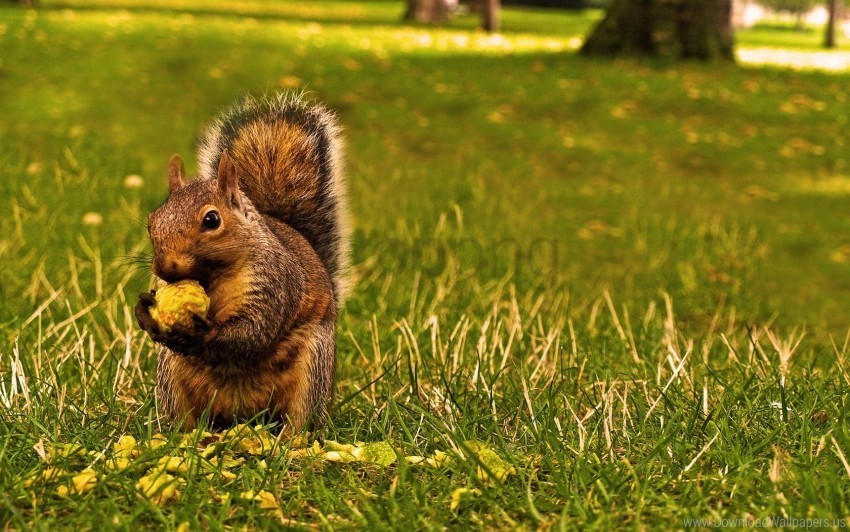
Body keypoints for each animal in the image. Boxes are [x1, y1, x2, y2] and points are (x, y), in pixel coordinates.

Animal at [136, 92, 348, 432]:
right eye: (151, 221)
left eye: (212, 220)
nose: (165, 268)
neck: (212, 277)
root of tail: (243, 415)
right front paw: (144, 309)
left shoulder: (273, 283)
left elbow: (254, 330)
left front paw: (202, 329)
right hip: (171, 376)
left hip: (313, 368)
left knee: (301, 418)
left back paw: (290, 441)